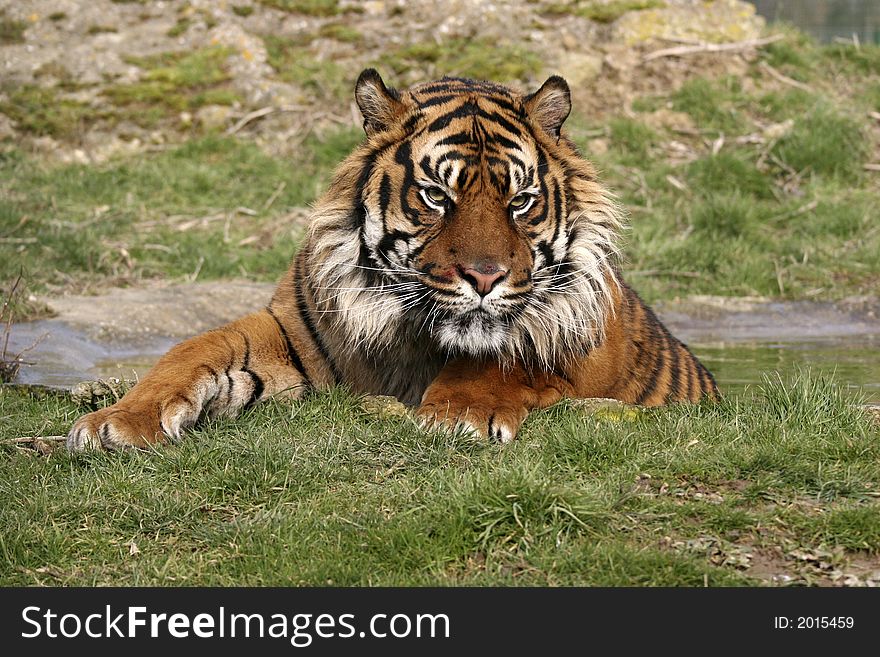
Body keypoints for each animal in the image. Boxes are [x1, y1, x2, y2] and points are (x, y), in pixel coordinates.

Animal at [67, 70, 716, 452]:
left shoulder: (576, 340)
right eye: (436, 195)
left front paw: (458, 415)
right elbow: (194, 347)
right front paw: (117, 422)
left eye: (520, 201)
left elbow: (508, 352)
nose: (485, 278)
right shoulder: (291, 329)